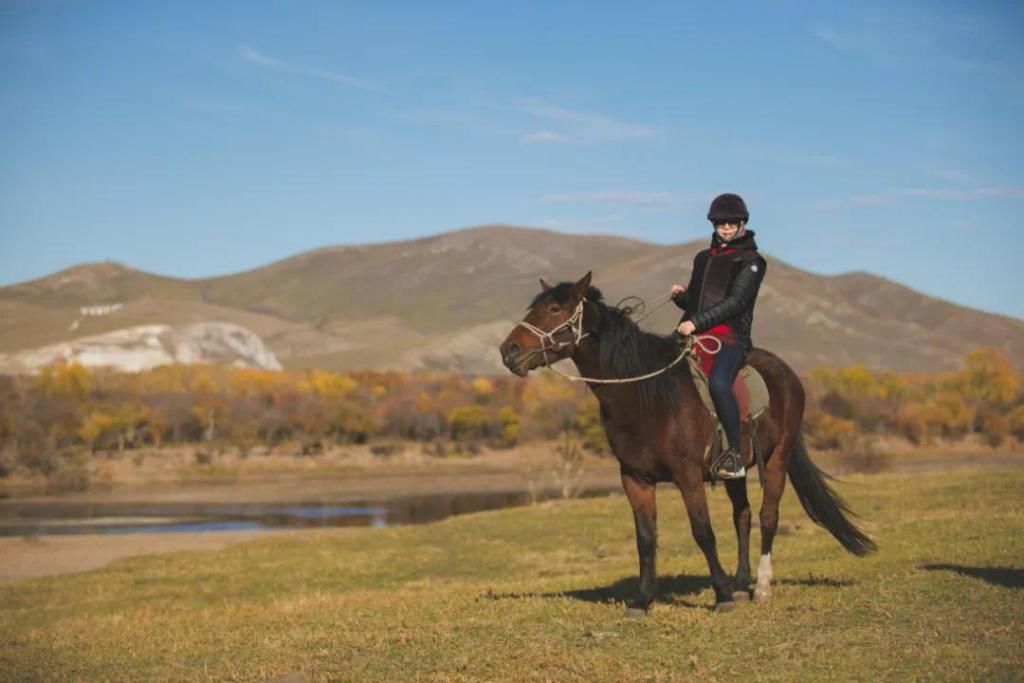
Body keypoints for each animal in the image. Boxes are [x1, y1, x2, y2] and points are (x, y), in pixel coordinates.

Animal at [495, 272, 872, 614]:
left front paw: (721, 596)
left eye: (555, 308)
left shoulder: (687, 475)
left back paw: (761, 588)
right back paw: (741, 584)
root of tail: (787, 373)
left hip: (778, 458)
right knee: (743, 516)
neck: (646, 395)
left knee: (768, 516)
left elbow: (702, 531)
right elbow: (646, 539)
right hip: (734, 470)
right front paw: (643, 600)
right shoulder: (634, 478)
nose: (508, 350)